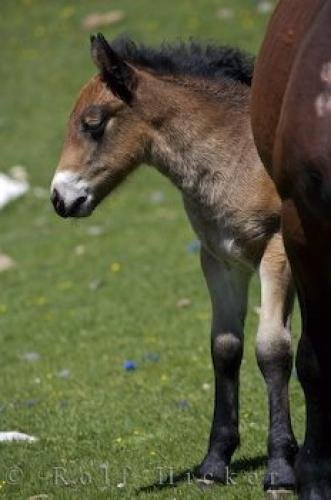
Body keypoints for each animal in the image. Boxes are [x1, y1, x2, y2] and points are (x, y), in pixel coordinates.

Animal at [51, 36, 298, 492]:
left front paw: (280, 470)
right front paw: (214, 463)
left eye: (93, 123)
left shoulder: (277, 250)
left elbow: (272, 349)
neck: (240, 156)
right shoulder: (218, 258)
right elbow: (225, 348)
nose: (60, 199)